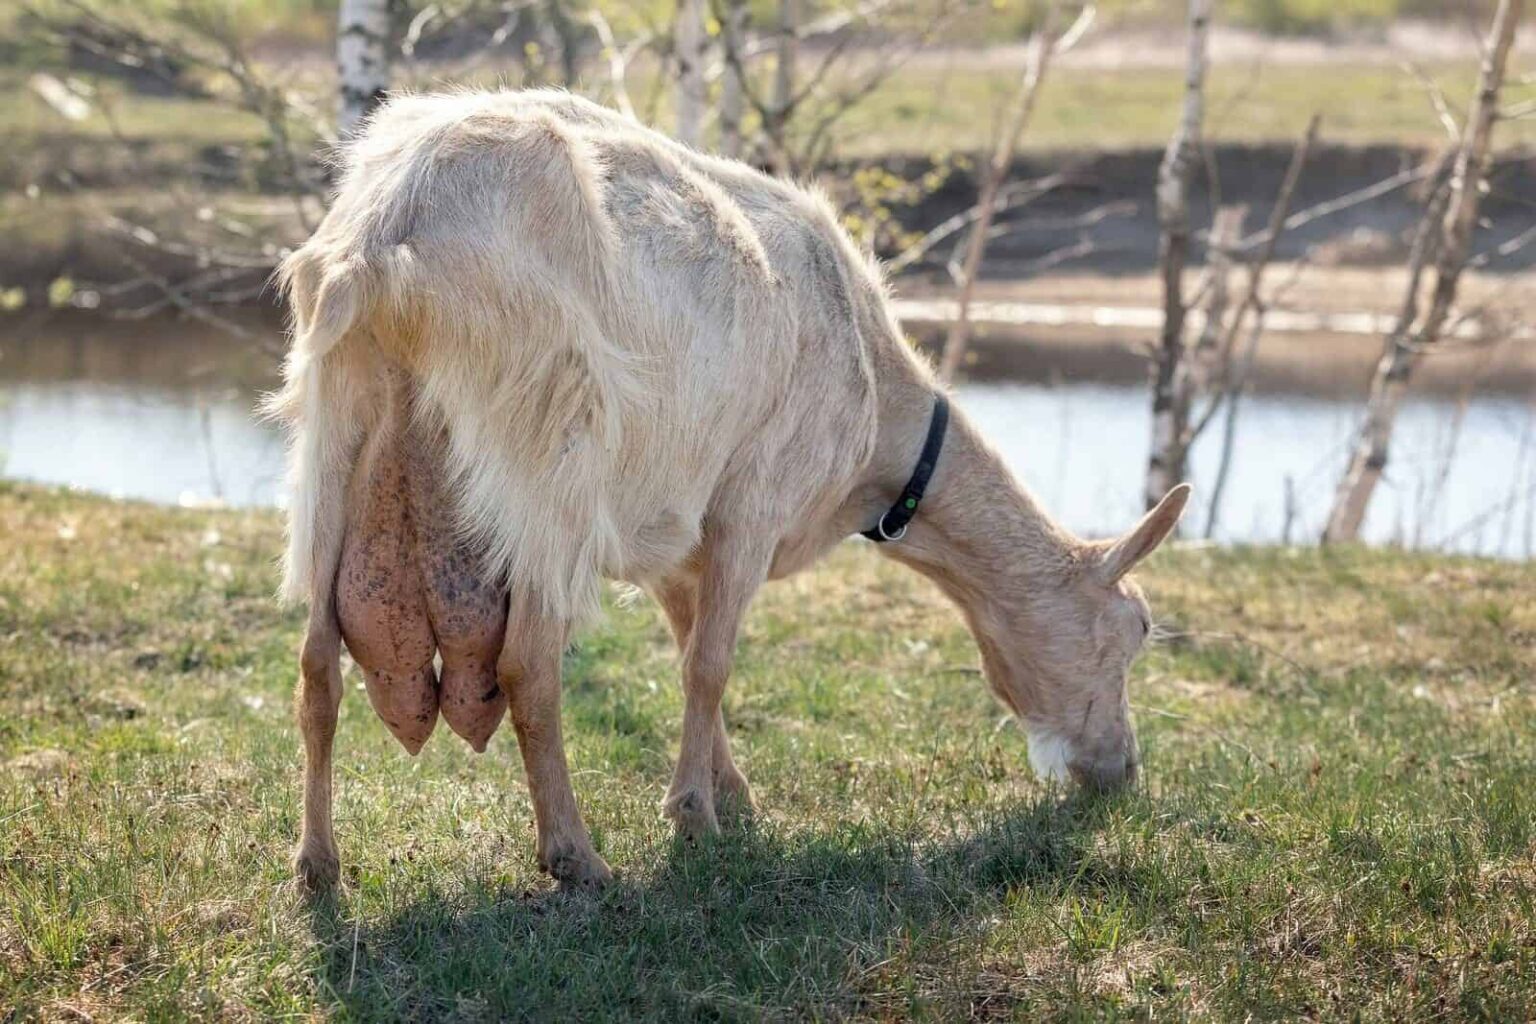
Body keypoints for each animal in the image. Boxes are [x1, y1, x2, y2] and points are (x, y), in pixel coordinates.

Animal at [270, 89, 1190, 891]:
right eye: (1137, 629)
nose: (1119, 772)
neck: (879, 427)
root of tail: (386, 240)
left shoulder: (677, 532)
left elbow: (688, 650)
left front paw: (733, 795)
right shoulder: (754, 501)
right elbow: (709, 664)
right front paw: (694, 817)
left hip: (332, 428)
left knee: (315, 663)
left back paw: (317, 867)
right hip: (551, 450)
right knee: (529, 662)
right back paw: (575, 856)